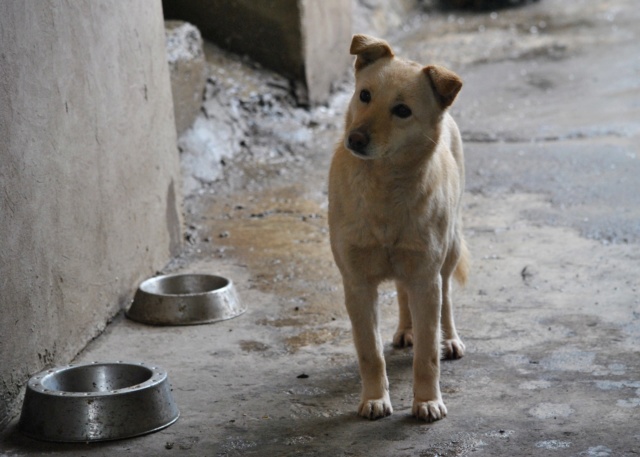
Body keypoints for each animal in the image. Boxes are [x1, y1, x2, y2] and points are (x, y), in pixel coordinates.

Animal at [328, 33, 468, 422]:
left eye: (402, 110)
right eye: (365, 95)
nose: (356, 139)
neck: (384, 189)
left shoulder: (425, 278)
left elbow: (427, 355)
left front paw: (427, 401)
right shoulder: (357, 285)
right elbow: (370, 353)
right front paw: (375, 399)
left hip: (447, 251)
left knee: (446, 297)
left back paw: (449, 338)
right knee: (403, 295)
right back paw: (406, 330)